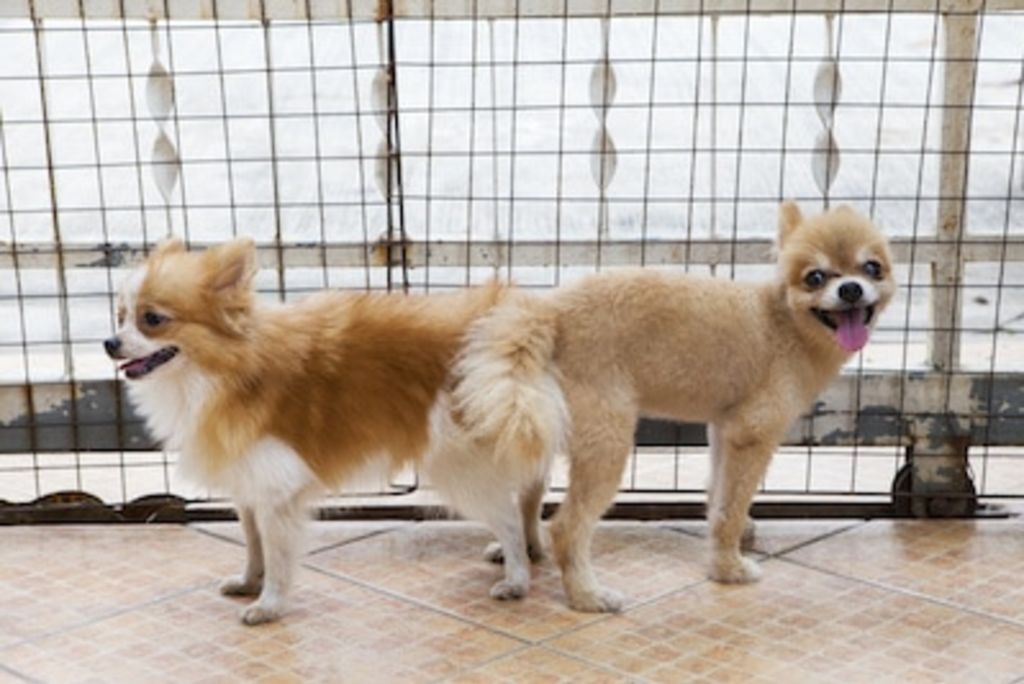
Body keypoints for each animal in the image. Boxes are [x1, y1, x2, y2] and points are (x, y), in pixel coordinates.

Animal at [103, 240, 548, 626]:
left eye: (152, 319)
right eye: (120, 316)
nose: (109, 342)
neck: (220, 374)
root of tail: (502, 329)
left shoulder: (277, 489)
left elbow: (278, 557)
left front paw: (269, 605)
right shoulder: (250, 487)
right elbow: (253, 545)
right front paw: (249, 583)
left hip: (459, 464)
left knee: (509, 516)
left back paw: (517, 577)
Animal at [456, 201, 897, 610]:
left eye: (872, 268)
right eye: (815, 277)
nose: (851, 289)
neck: (784, 322)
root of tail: (550, 311)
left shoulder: (723, 430)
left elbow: (717, 495)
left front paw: (736, 536)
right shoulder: (753, 435)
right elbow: (730, 507)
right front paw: (727, 567)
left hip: (540, 432)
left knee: (528, 501)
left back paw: (525, 550)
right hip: (607, 445)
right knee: (566, 528)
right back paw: (586, 595)